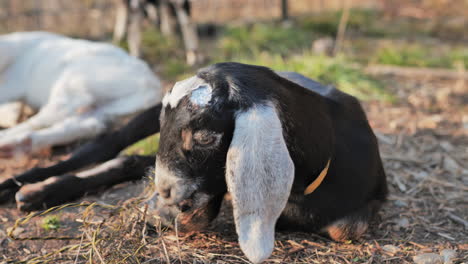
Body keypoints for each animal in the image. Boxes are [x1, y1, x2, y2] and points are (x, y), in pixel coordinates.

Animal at [0, 32, 162, 158]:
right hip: (109, 110)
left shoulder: (12, 85)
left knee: (47, 117)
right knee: (86, 125)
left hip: (73, 82)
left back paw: (8, 141)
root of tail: (152, 83)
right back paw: (15, 145)